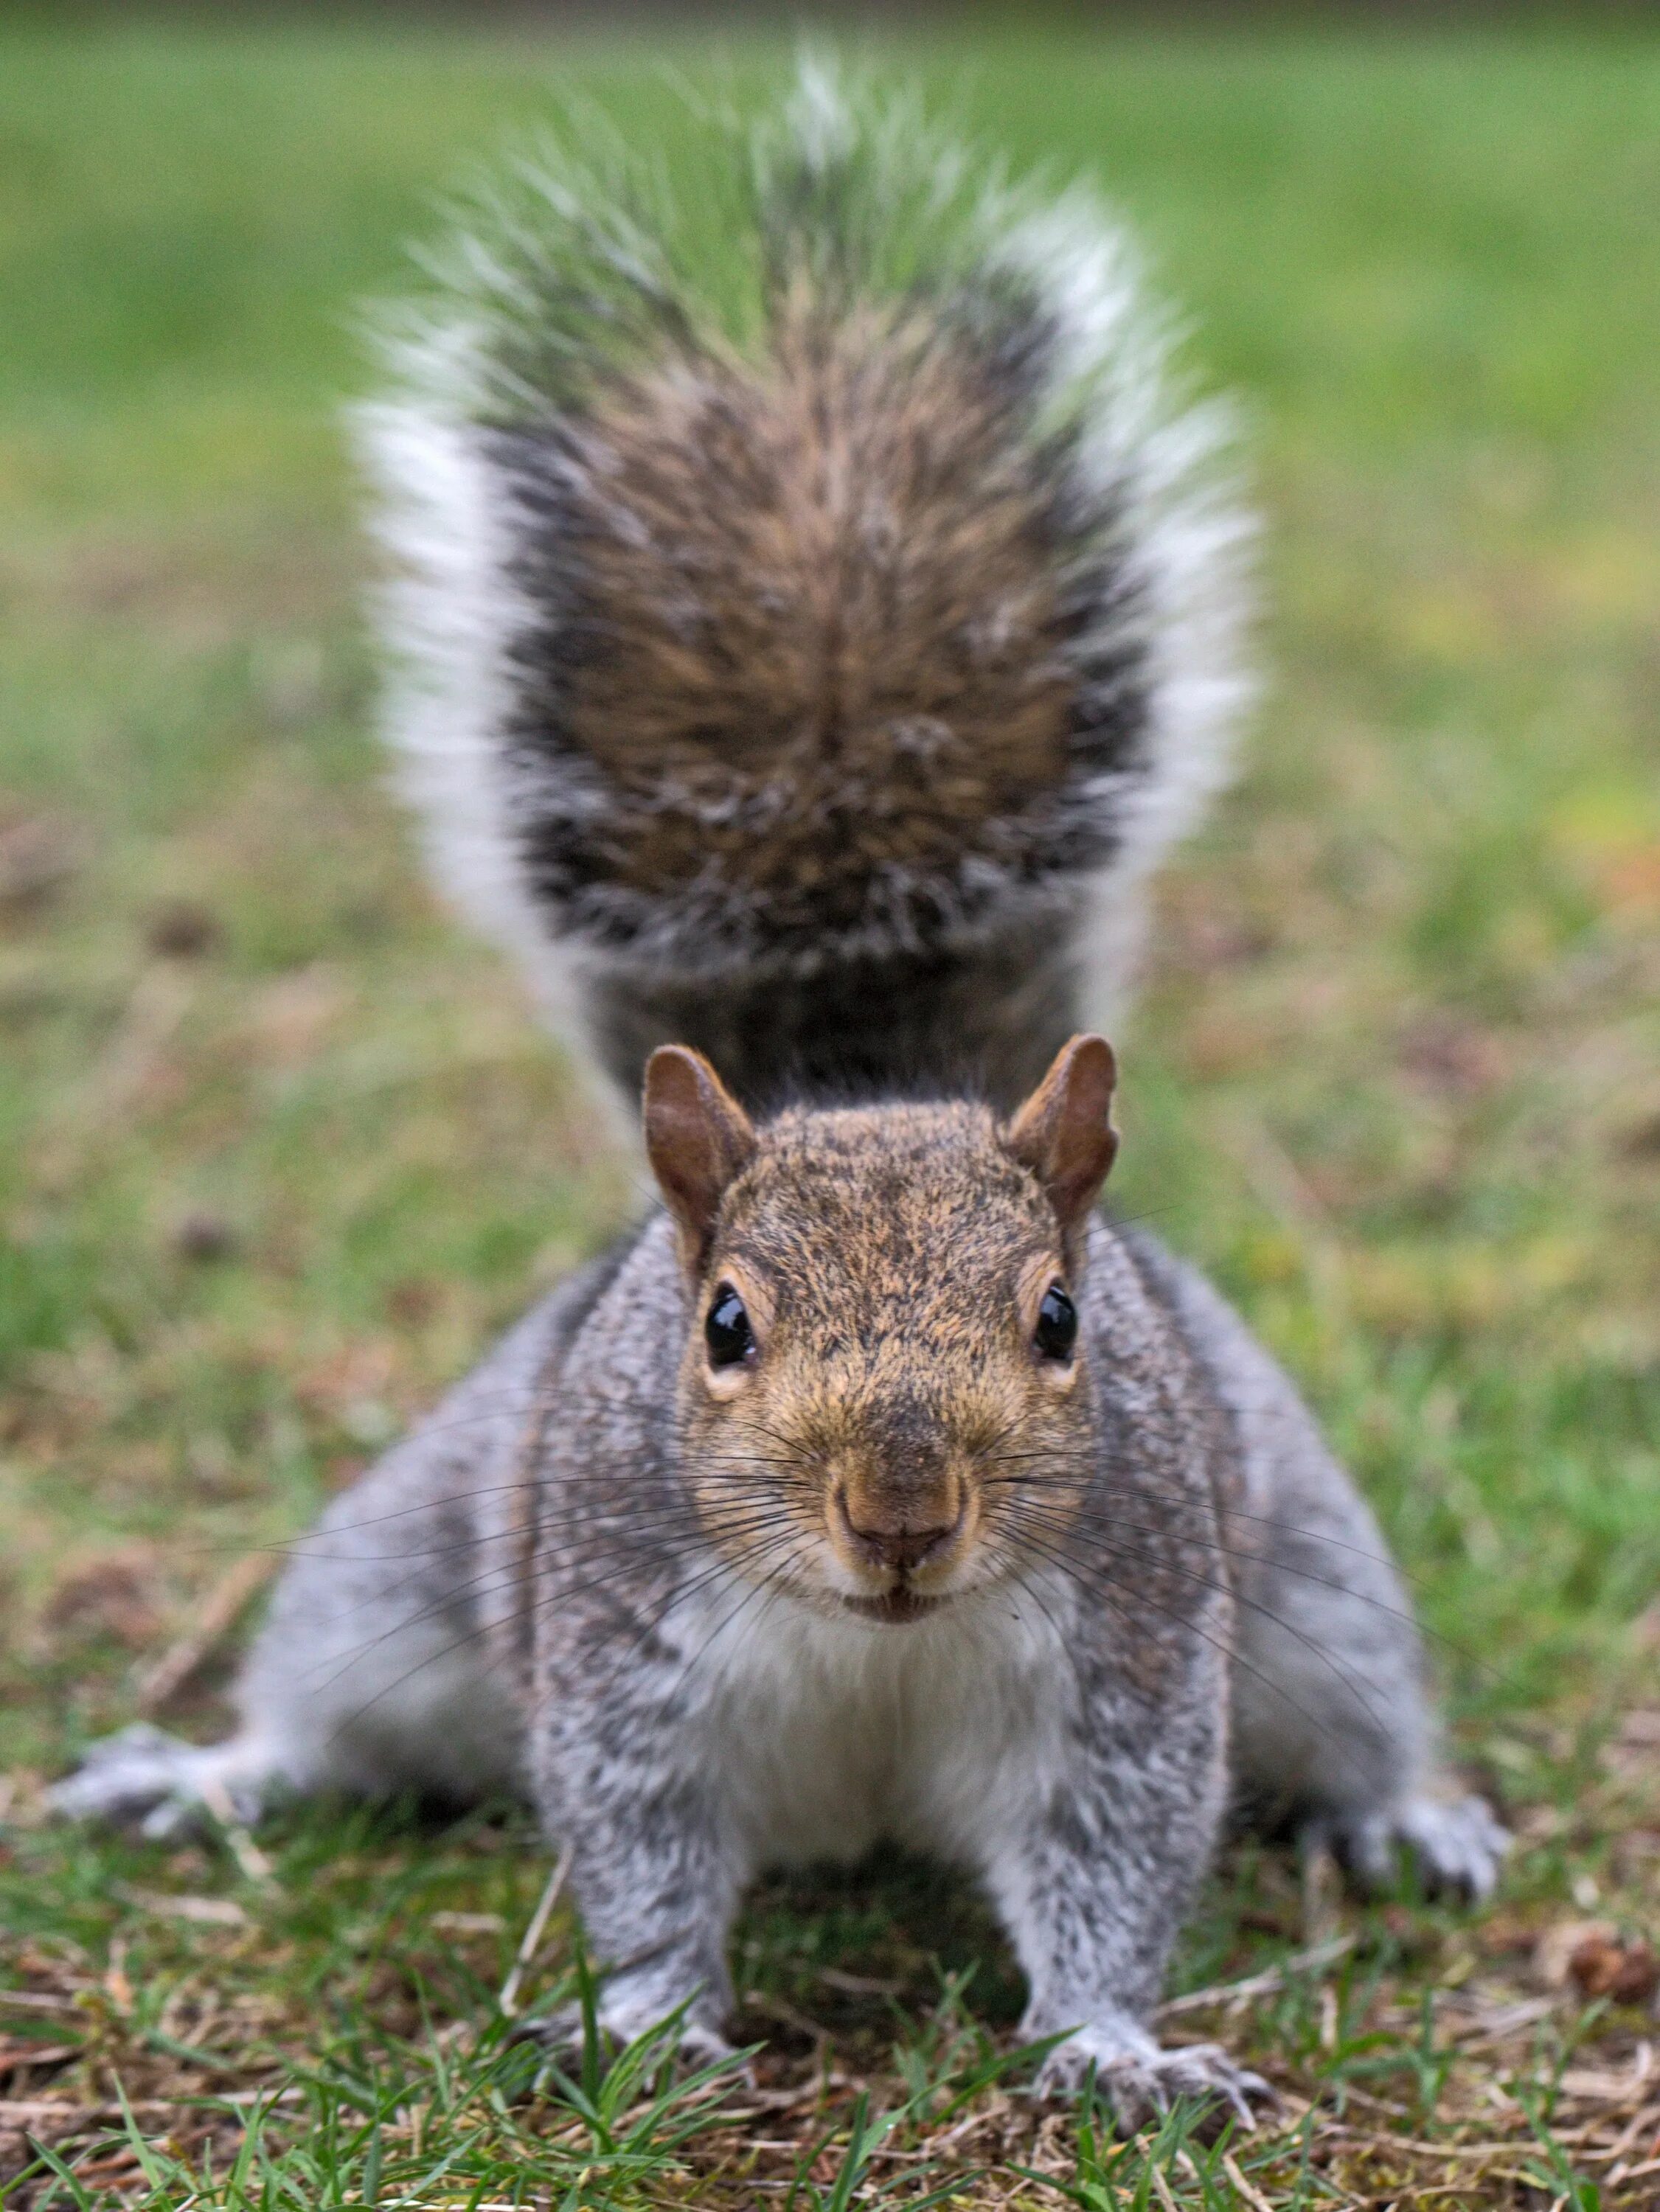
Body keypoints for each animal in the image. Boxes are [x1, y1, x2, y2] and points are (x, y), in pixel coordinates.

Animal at [49, 69, 1504, 2132]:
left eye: (1063, 1320)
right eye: (722, 1325)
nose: (900, 1512)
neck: (874, 1639)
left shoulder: (1138, 1657)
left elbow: (1114, 1855)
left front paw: (1112, 2046)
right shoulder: (620, 1649)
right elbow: (642, 1851)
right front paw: (653, 2021)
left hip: (1315, 1574)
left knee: (1360, 1707)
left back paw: (1404, 1815)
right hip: (396, 1568)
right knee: (329, 1708)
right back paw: (208, 1772)